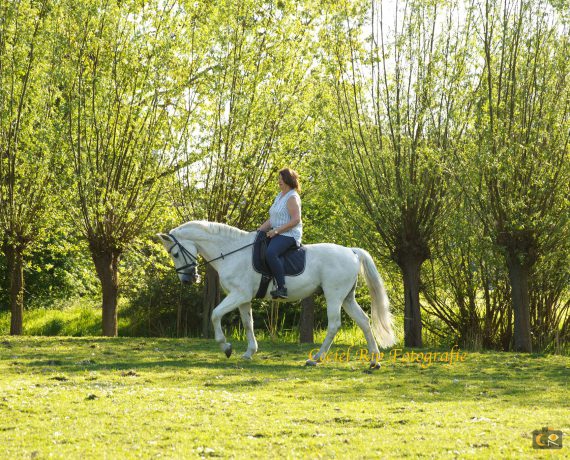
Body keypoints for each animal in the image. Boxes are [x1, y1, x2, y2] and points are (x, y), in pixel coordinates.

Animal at [158, 220, 392, 366]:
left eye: (175, 254)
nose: (188, 280)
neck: (231, 252)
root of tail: (352, 251)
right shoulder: (243, 298)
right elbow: (248, 323)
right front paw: (249, 352)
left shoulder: (238, 295)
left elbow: (215, 314)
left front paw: (226, 347)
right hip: (347, 297)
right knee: (364, 321)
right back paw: (374, 360)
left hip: (333, 295)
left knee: (334, 324)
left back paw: (315, 358)